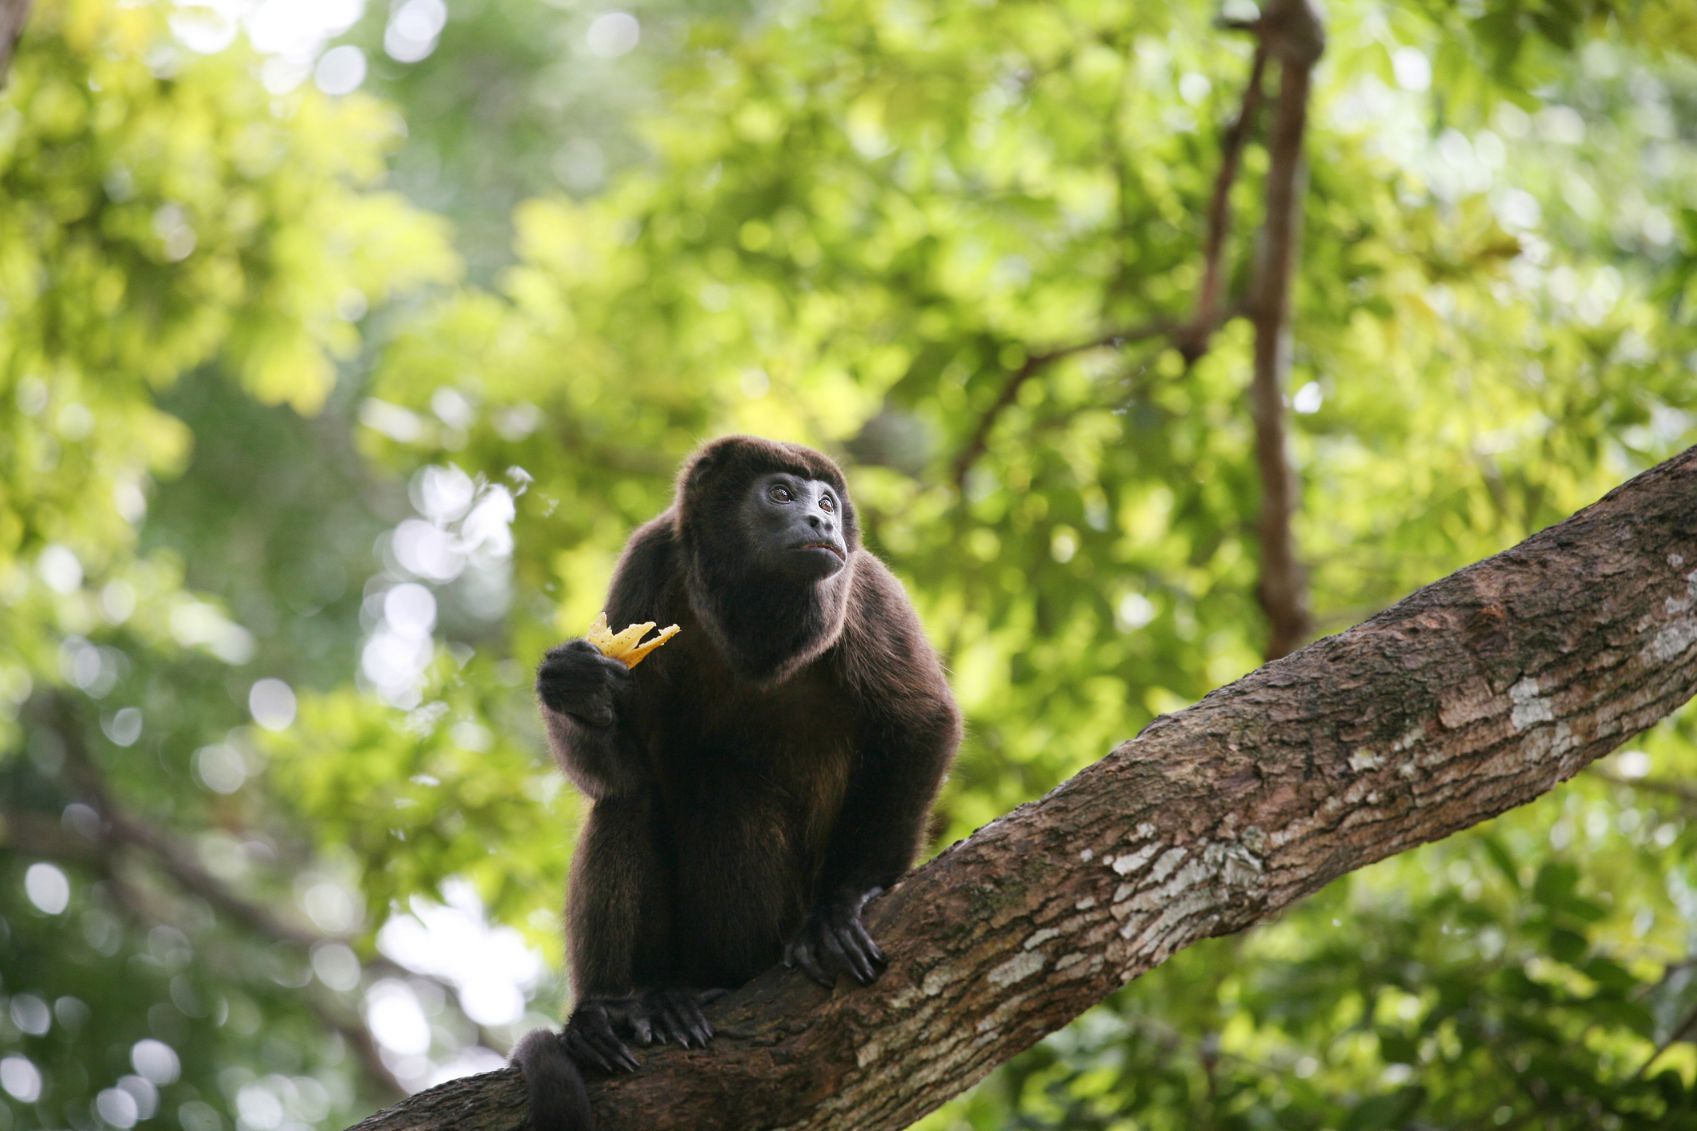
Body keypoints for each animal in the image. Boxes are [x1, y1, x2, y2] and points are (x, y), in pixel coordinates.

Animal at [509, 433, 963, 1127]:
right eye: (780, 493)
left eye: (827, 502)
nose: (823, 523)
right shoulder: (647, 562)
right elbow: (625, 770)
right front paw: (575, 685)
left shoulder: (866, 589)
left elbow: (921, 722)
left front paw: (843, 904)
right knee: (628, 803)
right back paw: (622, 1008)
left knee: (718, 782)